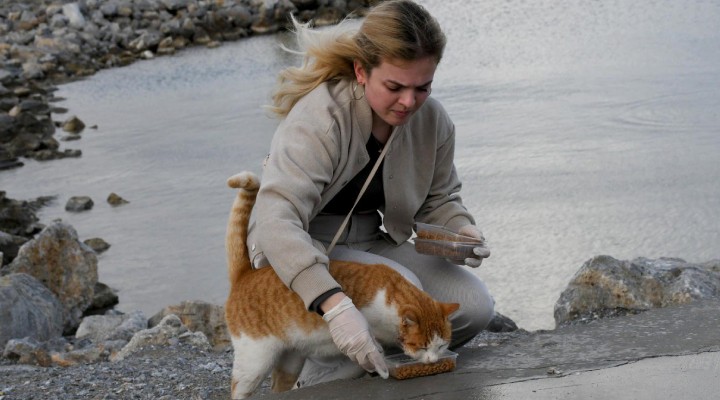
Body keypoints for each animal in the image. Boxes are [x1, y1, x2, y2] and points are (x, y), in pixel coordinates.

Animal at [226, 170, 462, 398]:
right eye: (422, 346)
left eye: (442, 345)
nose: (432, 361)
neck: (389, 300)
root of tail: (244, 275)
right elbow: (372, 345)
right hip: (255, 361)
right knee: (239, 388)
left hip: (290, 360)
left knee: (279, 385)